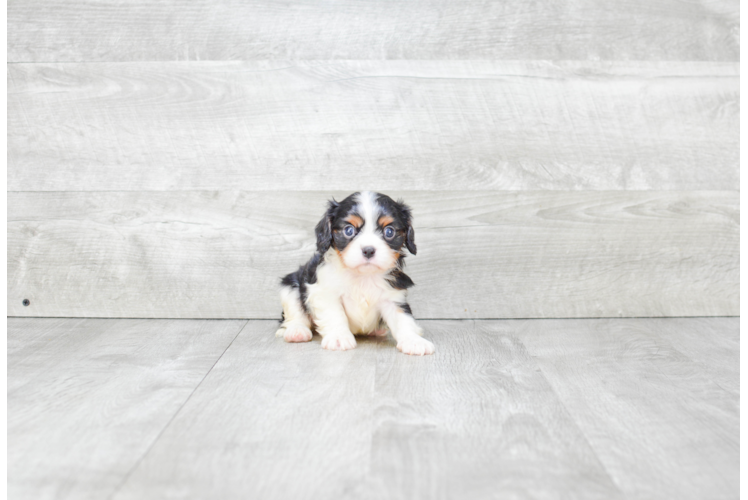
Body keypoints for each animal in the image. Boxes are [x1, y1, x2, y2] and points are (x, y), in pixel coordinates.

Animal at [276, 190, 436, 356]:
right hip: (290, 286)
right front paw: (339, 337)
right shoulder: (324, 293)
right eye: (349, 230)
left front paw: (414, 341)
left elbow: (404, 319)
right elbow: (335, 314)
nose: (368, 250)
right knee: (295, 314)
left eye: (389, 231)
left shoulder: (393, 296)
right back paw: (297, 331)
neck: (363, 276)